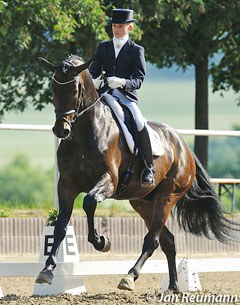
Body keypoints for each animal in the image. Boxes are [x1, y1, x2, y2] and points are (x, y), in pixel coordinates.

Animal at [35, 54, 238, 290]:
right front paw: (47, 269)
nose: (61, 130)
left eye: (75, 89)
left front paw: (102, 241)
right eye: (53, 88)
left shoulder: (108, 181)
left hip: (167, 196)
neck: (84, 133)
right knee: (167, 240)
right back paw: (173, 287)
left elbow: (89, 203)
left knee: (153, 239)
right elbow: (60, 226)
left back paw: (130, 276)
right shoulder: (66, 185)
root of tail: (183, 145)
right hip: (142, 202)